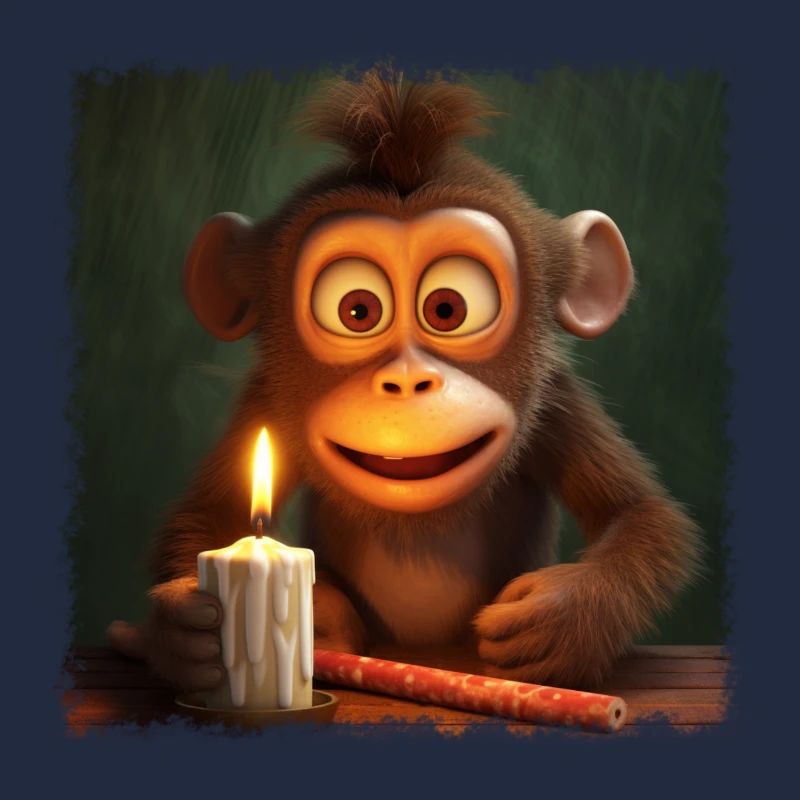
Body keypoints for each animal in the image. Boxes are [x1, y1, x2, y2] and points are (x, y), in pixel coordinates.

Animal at [107, 69, 701, 692]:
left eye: (447, 308)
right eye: (357, 309)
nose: (406, 382)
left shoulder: (558, 402)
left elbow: (640, 515)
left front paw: (561, 619)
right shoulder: (265, 402)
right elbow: (209, 512)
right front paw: (190, 631)